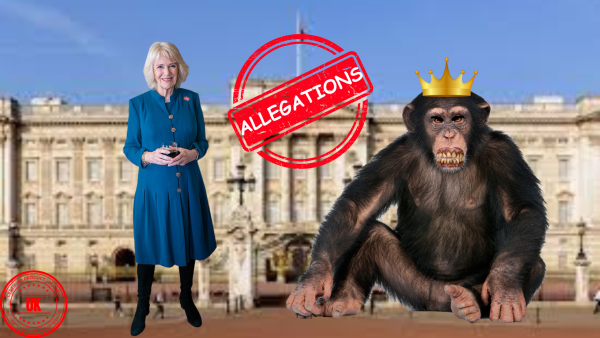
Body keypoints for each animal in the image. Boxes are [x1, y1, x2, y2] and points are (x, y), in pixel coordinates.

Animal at [286, 92, 548, 322]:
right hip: (415, 290)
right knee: (371, 234)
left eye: (459, 118)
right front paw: (314, 278)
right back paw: (344, 300)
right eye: (437, 120)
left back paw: (470, 302)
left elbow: (520, 210)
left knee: (531, 261)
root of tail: (439, 301)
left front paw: (504, 286)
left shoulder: (504, 152)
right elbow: (359, 209)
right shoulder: (395, 154)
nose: (449, 133)